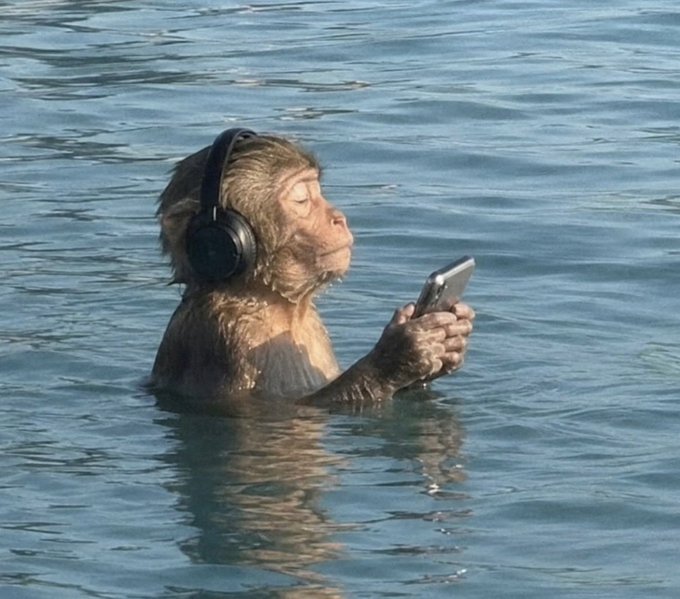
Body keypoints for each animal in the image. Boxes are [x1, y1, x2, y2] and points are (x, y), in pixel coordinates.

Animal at [150, 128, 475, 405]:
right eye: (301, 199)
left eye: (317, 192)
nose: (339, 217)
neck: (272, 303)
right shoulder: (228, 335)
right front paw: (397, 355)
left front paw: (450, 341)